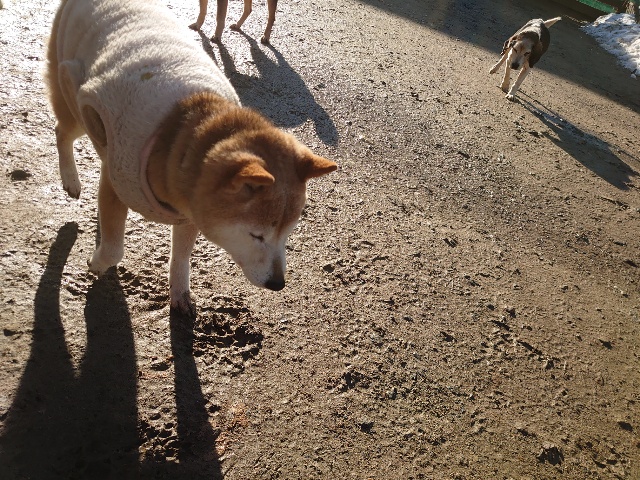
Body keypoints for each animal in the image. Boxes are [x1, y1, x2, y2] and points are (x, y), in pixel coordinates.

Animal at [47, 0, 337, 316]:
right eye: (257, 236)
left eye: (289, 233)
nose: (278, 284)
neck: (176, 135)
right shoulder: (101, 128)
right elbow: (114, 249)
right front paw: (97, 263)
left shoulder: (188, 213)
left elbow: (182, 256)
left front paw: (179, 292)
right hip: (72, 98)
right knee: (62, 131)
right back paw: (71, 179)